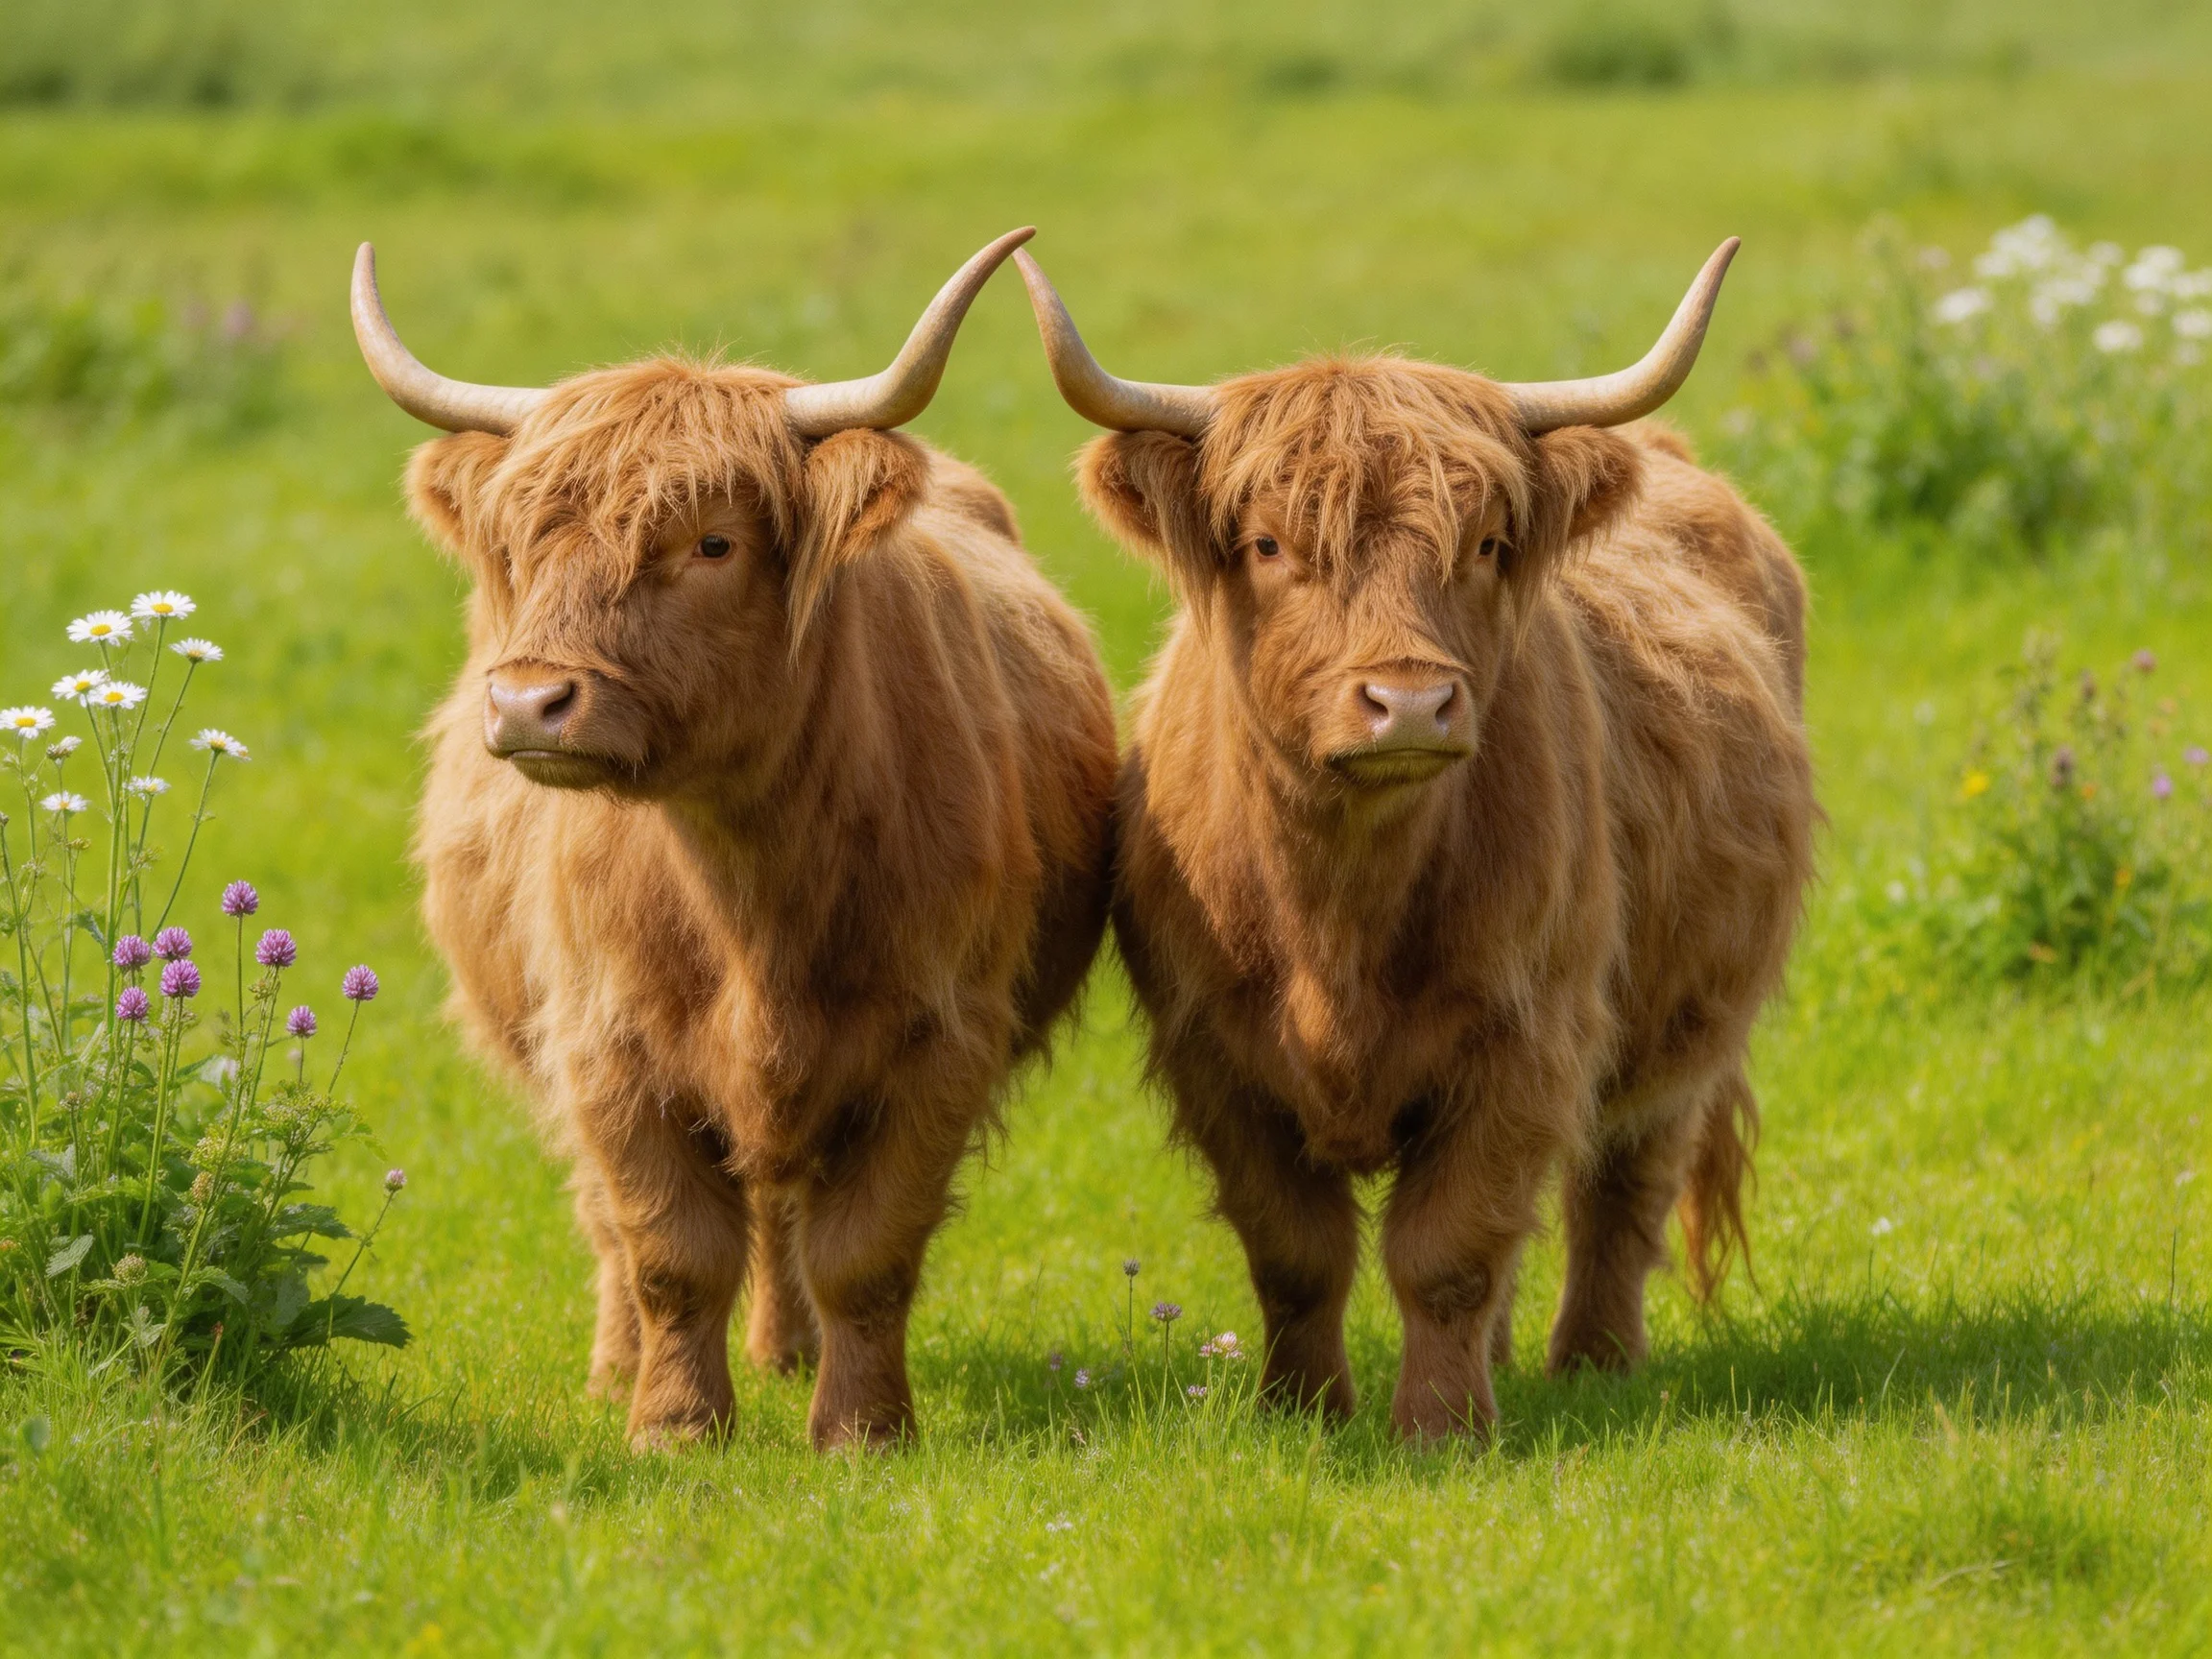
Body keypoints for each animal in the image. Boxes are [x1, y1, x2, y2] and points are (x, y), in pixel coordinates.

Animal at [351, 229, 1119, 1451]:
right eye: (522, 545)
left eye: (711, 543)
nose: (528, 703)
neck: (748, 891)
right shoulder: (607, 1042)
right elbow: (669, 1247)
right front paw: (670, 1427)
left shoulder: (940, 1040)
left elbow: (864, 1253)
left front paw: (860, 1431)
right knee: (619, 1222)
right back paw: (620, 1369)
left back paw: (786, 1354)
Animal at [1016, 240, 1815, 1440]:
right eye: (1268, 544)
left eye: (1485, 545)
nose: (1409, 703)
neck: (1338, 914)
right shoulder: (1215, 1054)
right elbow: (1298, 1253)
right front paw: (1303, 1411)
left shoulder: (1527, 1040)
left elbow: (1447, 1250)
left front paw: (1441, 1427)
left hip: (1688, 1029)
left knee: (1622, 1186)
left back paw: (1592, 1365)